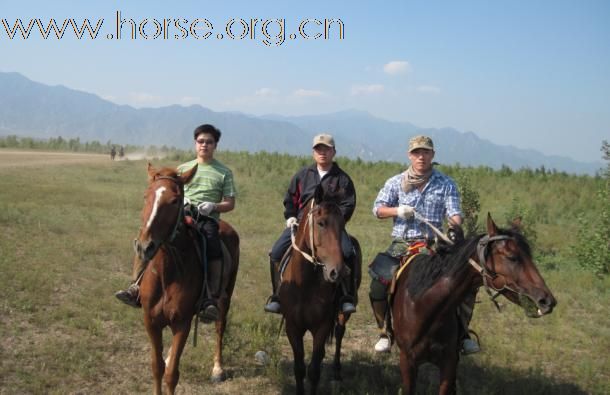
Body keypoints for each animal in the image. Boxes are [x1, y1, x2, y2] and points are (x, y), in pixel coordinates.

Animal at [134, 164, 239, 395]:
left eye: (174, 201)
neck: (167, 274)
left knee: (220, 327)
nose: (145, 246)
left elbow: (172, 374)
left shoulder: (182, 323)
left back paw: (218, 368)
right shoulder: (150, 321)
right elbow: (157, 367)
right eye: (145, 196)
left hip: (226, 297)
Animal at [276, 186, 358, 395]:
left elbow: (313, 371)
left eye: (342, 225)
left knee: (339, 333)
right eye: (321, 223)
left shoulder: (322, 326)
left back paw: (337, 371)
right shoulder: (293, 327)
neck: (305, 284)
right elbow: (299, 368)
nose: (338, 271)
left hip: (342, 315)